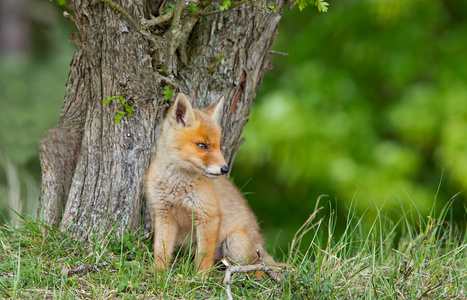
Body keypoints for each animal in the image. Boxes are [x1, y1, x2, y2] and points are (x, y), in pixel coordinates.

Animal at [146, 92, 286, 270]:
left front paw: (199, 277)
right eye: (202, 145)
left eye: (219, 147)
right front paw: (158, 273)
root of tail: (259, 244)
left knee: (256, 269)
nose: (225, 169)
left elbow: (204, 258)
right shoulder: (163, 214)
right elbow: (161, 251)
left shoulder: (209, 216)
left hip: (236, 244)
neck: (177, 185)